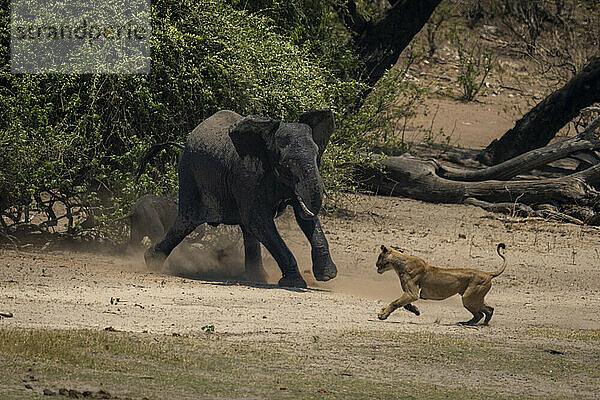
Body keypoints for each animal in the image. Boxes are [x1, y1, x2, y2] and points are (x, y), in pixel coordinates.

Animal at [142, 108, 338, 288]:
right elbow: (259, 221)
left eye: (317, 155)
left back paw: (256, 278)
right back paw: (151, 261)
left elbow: (302, 219)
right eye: (285, 164)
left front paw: (327, 276)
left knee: (244, 228)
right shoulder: (247, 176)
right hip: (189, 174)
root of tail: (186, 142)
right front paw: (295, 283)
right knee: (186, 222)